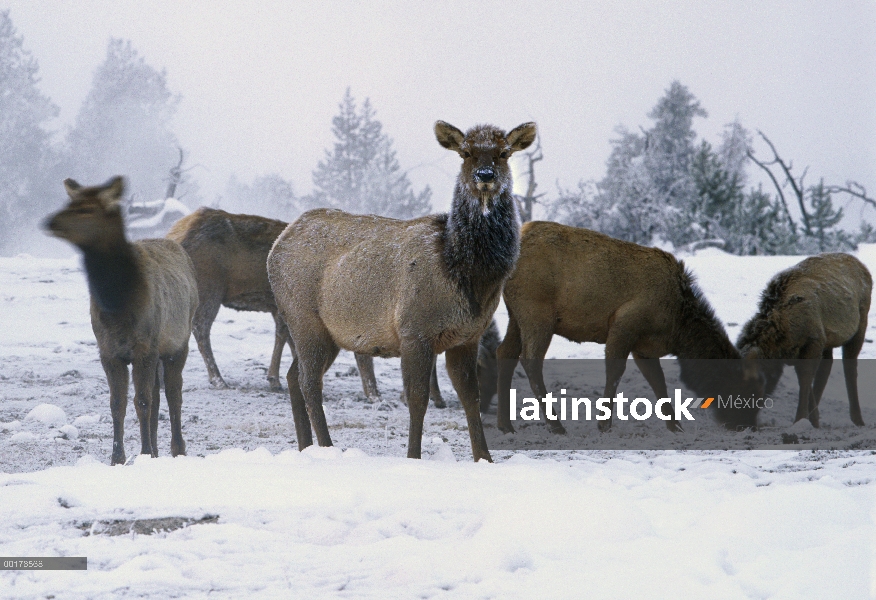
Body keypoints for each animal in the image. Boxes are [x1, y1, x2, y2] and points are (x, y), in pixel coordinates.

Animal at [43, 176, 198, 466]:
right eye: (69, 202)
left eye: (86, 209)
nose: (49, 222)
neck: (117, 304)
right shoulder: (108, 351)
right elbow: (118, 403)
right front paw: (118, 457)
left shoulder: (145, 347)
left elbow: (142, 401)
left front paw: (144, 451)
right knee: (158, 394)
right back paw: (158, 450)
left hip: (178, 343)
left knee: (174, 394)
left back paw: (177, 449)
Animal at [266, 120, 536, 460]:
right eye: (465, 153)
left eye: (504, 152)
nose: (485, 176)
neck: (466, 276)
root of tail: (275, 249)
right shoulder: (414, 330)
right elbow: (417, 400)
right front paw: (413, 456)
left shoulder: (467, 336)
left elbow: (469, 398)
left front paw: (484, 458)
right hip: (304, 318)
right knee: (309, 381)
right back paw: (327, 447)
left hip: (329, 333)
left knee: (294, 376)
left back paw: (305, 447)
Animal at [496, 219, 764, 432]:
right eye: (742, 391)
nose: (748, 426)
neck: (676, 325)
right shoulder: (624, 324)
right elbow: (615, 372)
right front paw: (603, 424)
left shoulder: (644, 347)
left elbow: (658, 382)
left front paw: (675, 426)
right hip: (537, 313)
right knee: (530, 360)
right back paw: (556, 425)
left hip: (515, 315)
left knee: (505, 353)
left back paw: (506, 425)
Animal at [736, 252, 872, 426]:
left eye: (752, 382)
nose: (741, 420)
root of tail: (864, 268)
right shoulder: (806, 347)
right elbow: (808, 376)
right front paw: (813, 420)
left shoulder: (814, 340)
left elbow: (805, 378)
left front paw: (800, 419)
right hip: (828, 340)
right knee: (826, 368)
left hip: (861, 322)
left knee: (849, 366)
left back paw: (857, 419)